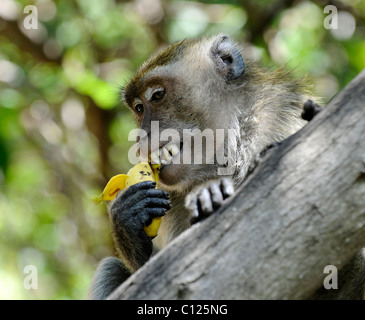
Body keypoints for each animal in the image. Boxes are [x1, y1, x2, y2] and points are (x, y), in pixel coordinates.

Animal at [87, 33, 362, 298]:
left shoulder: (279, 122)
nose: (141, 137)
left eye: (157, 95)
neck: (234, 139)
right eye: (139, 108)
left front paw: (211, 192)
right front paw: (128, 219)